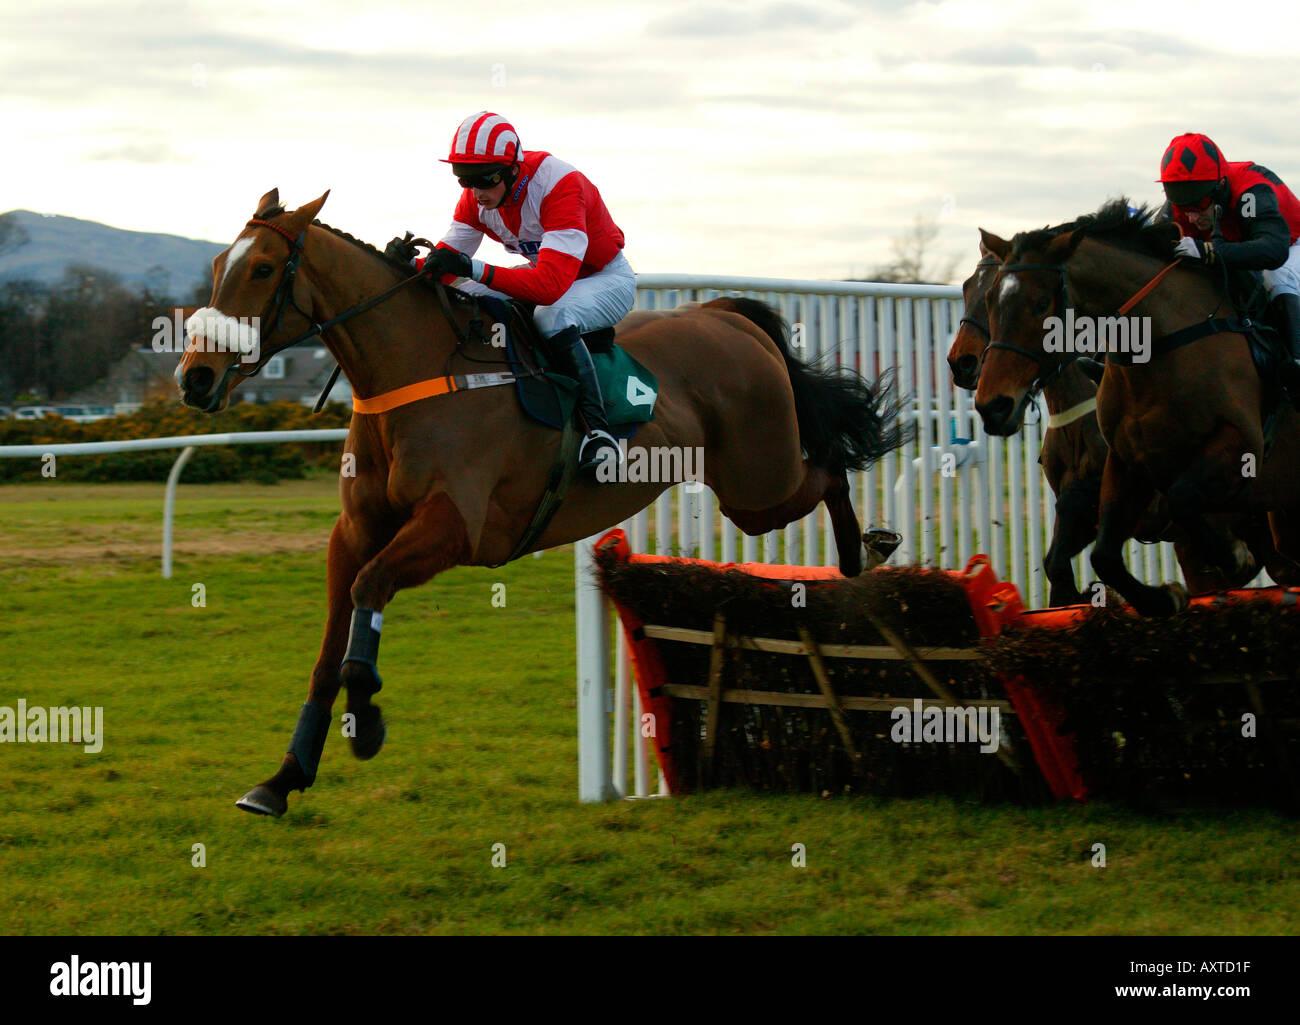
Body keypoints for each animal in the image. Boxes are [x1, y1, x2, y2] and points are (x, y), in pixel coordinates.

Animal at [180, 189, 915, 816]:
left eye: (264, 269)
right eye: (217, 265)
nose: (196, 378)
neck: (415, 374)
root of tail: (723, 315)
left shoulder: (458, 528)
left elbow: (370, 590)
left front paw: (367, 719)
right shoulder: (355, 531)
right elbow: (329, 647)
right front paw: (283, 777)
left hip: (758, 483)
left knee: (829, 469)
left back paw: (866, 553)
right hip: (751, 490)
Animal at [977, 201, 1300, 616]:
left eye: (1040, 304)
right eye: (989, 299)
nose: (993, 405)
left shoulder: (1241, 445)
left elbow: (1182, 498)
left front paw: (1235, 556)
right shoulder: (1126, 461)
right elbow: (1102, 555)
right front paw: (1161, 597)